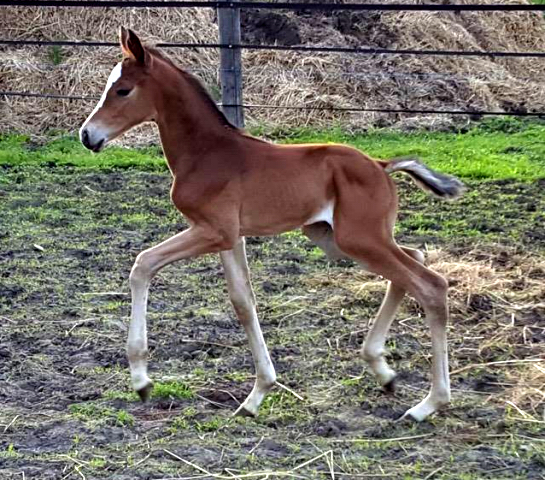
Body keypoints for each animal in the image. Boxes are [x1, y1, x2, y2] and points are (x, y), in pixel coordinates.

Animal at [81, 28, 464, 422]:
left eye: (122, 90)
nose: (87, 135)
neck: (206, 153)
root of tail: (381, 164)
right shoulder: (230, 238)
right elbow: (243, 302)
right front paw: (257, 394)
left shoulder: (213, 231)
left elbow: (143, 264)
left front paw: (141, 381)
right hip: (337, 238)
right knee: (414, 259)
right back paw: (384, 372)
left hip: (359, 238)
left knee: (430, 285)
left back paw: (429, 403)